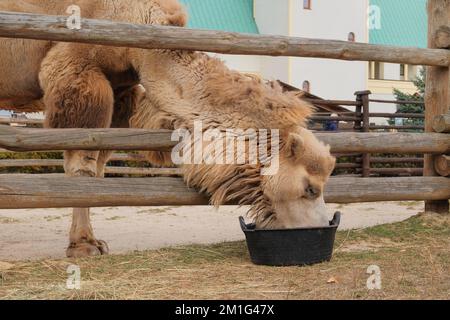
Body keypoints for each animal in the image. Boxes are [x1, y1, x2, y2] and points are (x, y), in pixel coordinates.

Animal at [0, 0, 334, 258]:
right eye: (310, 188)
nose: (322, 227)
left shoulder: (121, 90)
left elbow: (98, 165)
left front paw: (93, 240)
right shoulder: (76, 71)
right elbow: (81, 165)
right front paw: (82, 246)